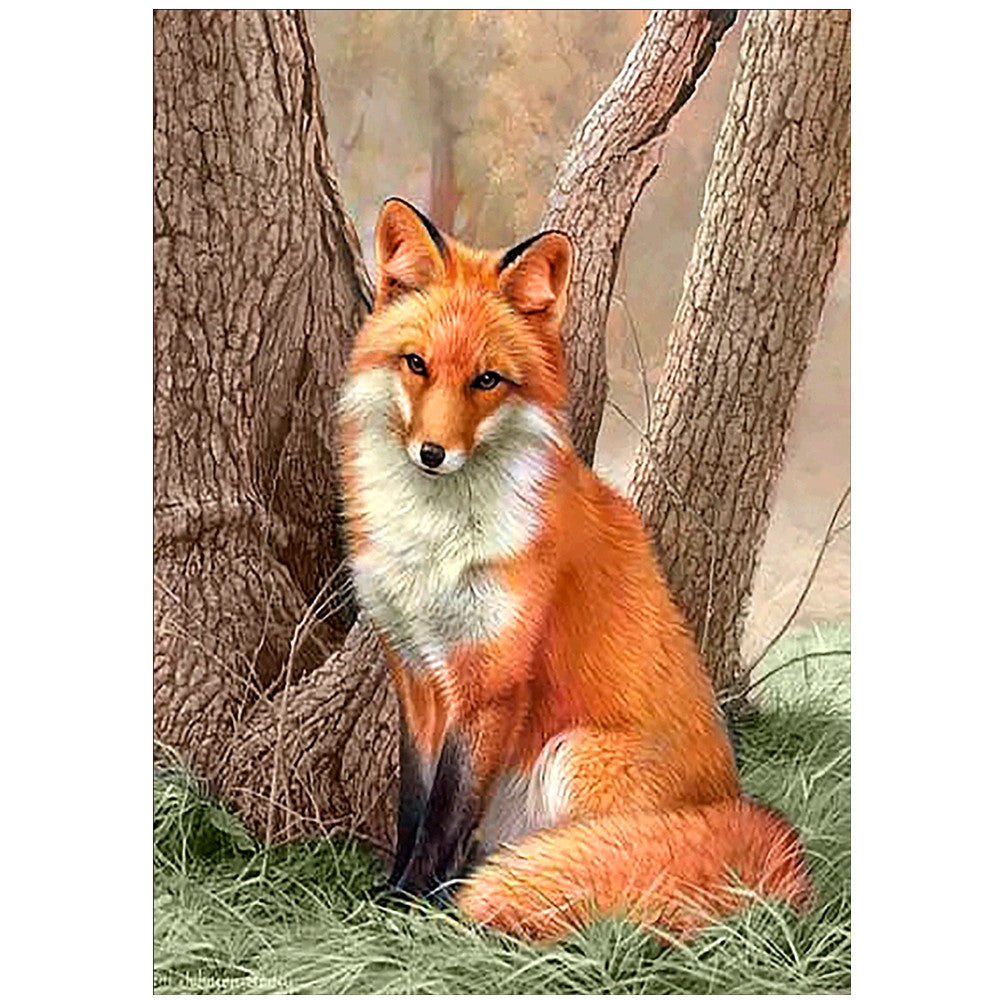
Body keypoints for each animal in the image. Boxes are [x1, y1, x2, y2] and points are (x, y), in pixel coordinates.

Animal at [337, 197, 812, 943]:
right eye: (416, 364)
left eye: (487, 380)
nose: (432, 453)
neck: (436, 547)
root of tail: (738, 808)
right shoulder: (413, 671)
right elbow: (414, 804)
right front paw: (392, 889)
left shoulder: (491, 682)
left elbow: (447, 813)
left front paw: (413, 908)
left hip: (573, 757)